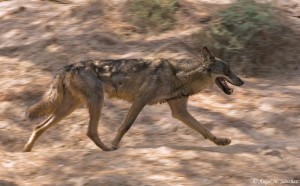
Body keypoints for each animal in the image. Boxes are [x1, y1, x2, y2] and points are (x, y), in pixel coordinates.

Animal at [23, 46, 244, 151]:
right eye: (228, 71)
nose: (242, 82)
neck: (180, 75)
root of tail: (67, 66)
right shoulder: (140, 101)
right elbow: (125, 126)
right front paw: (114, 143)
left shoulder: (179, 112)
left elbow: (205, 130)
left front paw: (221, 141)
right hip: (95, 102)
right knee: (90, 131)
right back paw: (107, 149)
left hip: (69, 108)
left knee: (39, 127)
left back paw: (27, 150)